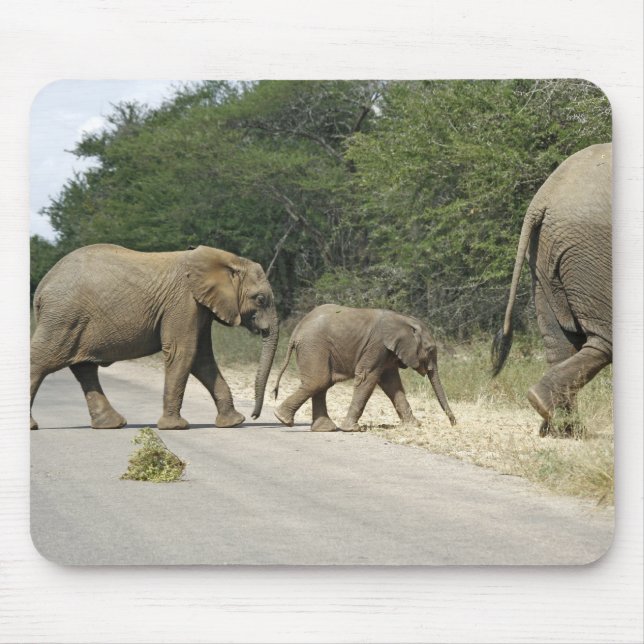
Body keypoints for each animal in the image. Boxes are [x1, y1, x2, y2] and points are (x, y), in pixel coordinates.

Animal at [30, 243, 279, 431]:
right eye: (260, 299)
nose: (255, 416)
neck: (228, 259)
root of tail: (41, 288)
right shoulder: (183, 302)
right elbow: (183, 352)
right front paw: (175, 427)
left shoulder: (199, 306)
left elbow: (202, 358)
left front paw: (234, 422)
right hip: (63, 317)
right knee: (42, 361)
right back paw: (32, 425)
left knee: (85, 369)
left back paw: (112, 424)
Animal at [272, 304, 456, 432]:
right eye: (430, 349)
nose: (454, 422)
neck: (404, 320)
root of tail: (297, 329)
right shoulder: (377, 346)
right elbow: (367, 377)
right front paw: (352, 429)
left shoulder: (387, 352)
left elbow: (392, 384)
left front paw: (414, 425)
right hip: (314, 346)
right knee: (319, 381)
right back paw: (282, 418)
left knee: (320, 383)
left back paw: (322, 428)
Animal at [492, 142, 612, 436]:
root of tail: (542, 198)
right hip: (591, 251)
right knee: (605, 338)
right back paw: (557, 420)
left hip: (545, 254)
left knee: (560, 343)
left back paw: (559, 425)